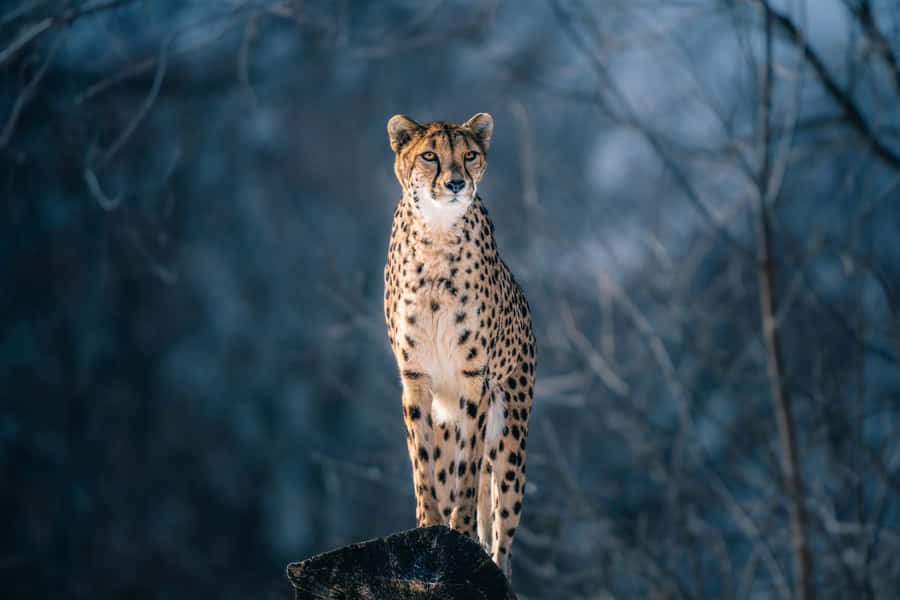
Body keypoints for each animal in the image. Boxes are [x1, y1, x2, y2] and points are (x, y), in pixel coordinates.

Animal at [383, 112, 535, 579]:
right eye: (430, 155)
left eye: (469, 155)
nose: (455, 183)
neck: (436, 233)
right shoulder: (416, 377)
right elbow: (423, 462)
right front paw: (429, 524)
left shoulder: (474, 379)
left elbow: (469, 470)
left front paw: (461, 529)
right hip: (447, 415)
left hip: (510, 437)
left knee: (503, 525)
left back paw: (497, 567)